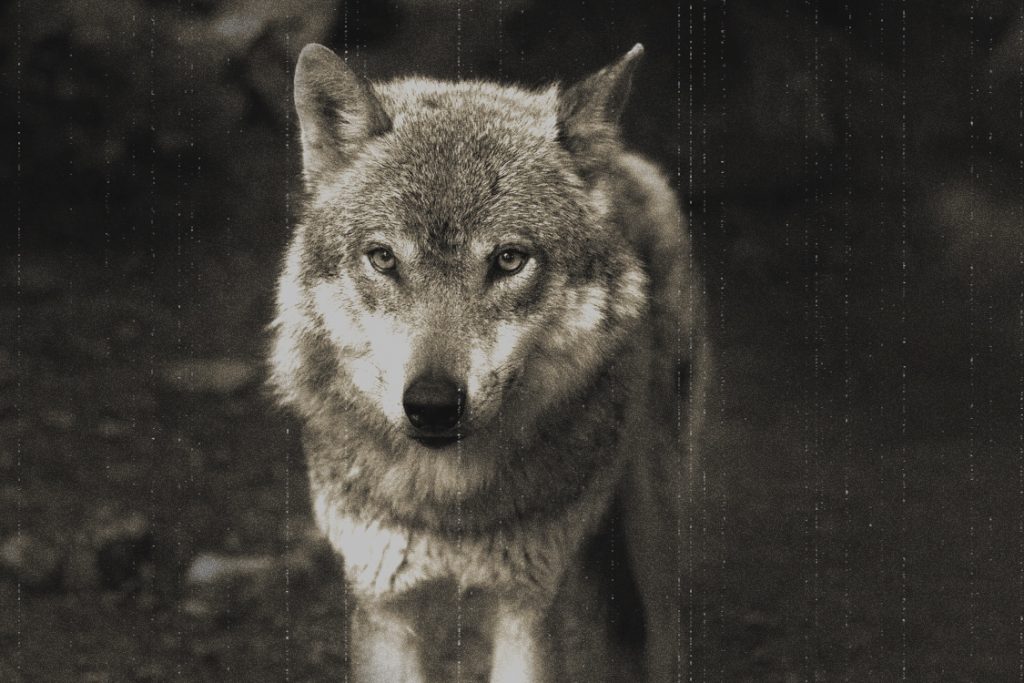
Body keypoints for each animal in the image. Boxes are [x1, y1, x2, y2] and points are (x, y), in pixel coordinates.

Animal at [269, 42, 708, 682]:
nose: (431, 404)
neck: (449, 505)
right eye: (383, 258)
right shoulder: (383, 604)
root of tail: (624, 162)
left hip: (654, 525)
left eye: (508, 260)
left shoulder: (528, 608)